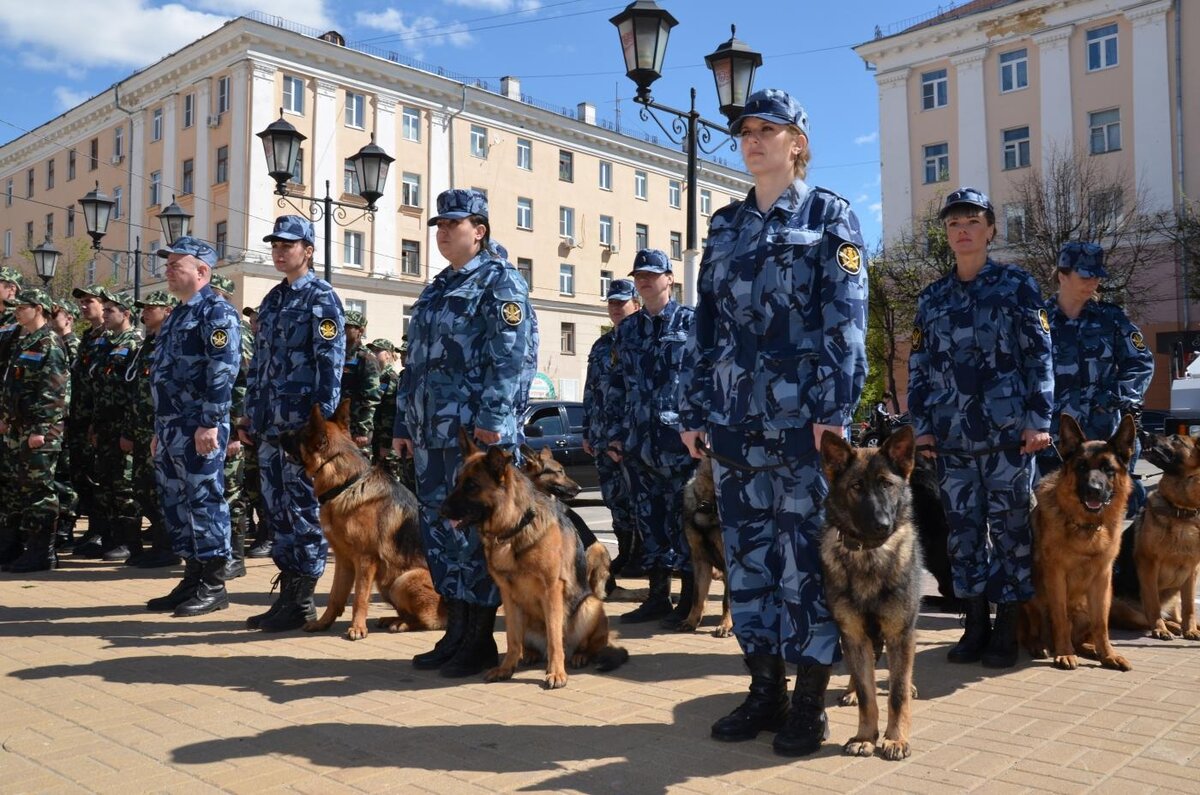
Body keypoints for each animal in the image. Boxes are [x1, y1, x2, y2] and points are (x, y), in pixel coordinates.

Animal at [279, 405, 446, 643]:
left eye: (298, 433)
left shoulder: (365, 560)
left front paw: (357, 628)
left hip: (404, 580)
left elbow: (359, 597)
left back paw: (402, 624)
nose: (277, 434)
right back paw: (393, 619)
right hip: (387, 584)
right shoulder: (343, 560)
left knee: (428, 621)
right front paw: (323, 623)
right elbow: (335, 596)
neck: (346, 484)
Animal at [441, 429, 628, 691]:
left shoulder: (552, 589)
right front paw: (506, 668)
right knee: (527, 642)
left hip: (589, 605)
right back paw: (529, 654)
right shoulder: (507, 595)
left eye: (471, 485)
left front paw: (557, 673)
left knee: (586, 644)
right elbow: (511, 638)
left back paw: (579, 655)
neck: (514, 528)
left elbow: (554, 637)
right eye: (457, 482)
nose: (440, 511)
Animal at [820, 427, 921, 763]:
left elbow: (897, 694)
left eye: (887, 484)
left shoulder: (901, 634)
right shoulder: (853, 634)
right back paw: (850, 691)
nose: (882, 525)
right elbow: (867, 694)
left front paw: (896, 739)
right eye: (856, 487)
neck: (869, 554)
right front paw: (865, 737)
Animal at [1022, 417, 1132, 672]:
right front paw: (1064, 653)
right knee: (1035, 627)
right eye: (1081, 467)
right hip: (1031, 595)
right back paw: (1040, 645)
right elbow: (1060, 617)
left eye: (1108, 469)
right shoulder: (1056, 575)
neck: (1087, 526)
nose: (1094, 490)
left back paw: (1092, 649)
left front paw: (1108, 654)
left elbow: (1101, 623)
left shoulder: (1103, 579)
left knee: (1085, 635)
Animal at [1104, 429, 1200, 643]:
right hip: (1126, 609)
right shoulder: (1148, 563)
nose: (1145, 432)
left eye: (1176, 438)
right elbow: (1153, 603)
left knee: (1176, 614)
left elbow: (1189, 607)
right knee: (1146, 618)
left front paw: (1190, 629)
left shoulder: (1192, 570)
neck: (1181, 511)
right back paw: (1170, 627)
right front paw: (1160, 629)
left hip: (1174, 597)